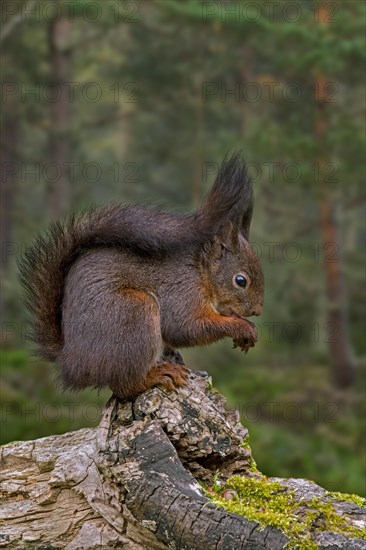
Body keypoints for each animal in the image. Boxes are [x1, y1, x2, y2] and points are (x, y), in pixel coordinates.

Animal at [19, 154, 264, 402]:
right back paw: (157, 375)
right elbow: (185, 327)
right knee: (124, 386)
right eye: (241, 280)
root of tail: (72, 362)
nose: (257, 310)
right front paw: (241, 327)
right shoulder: (183, 290)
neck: (201, 270)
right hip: (134, 313)